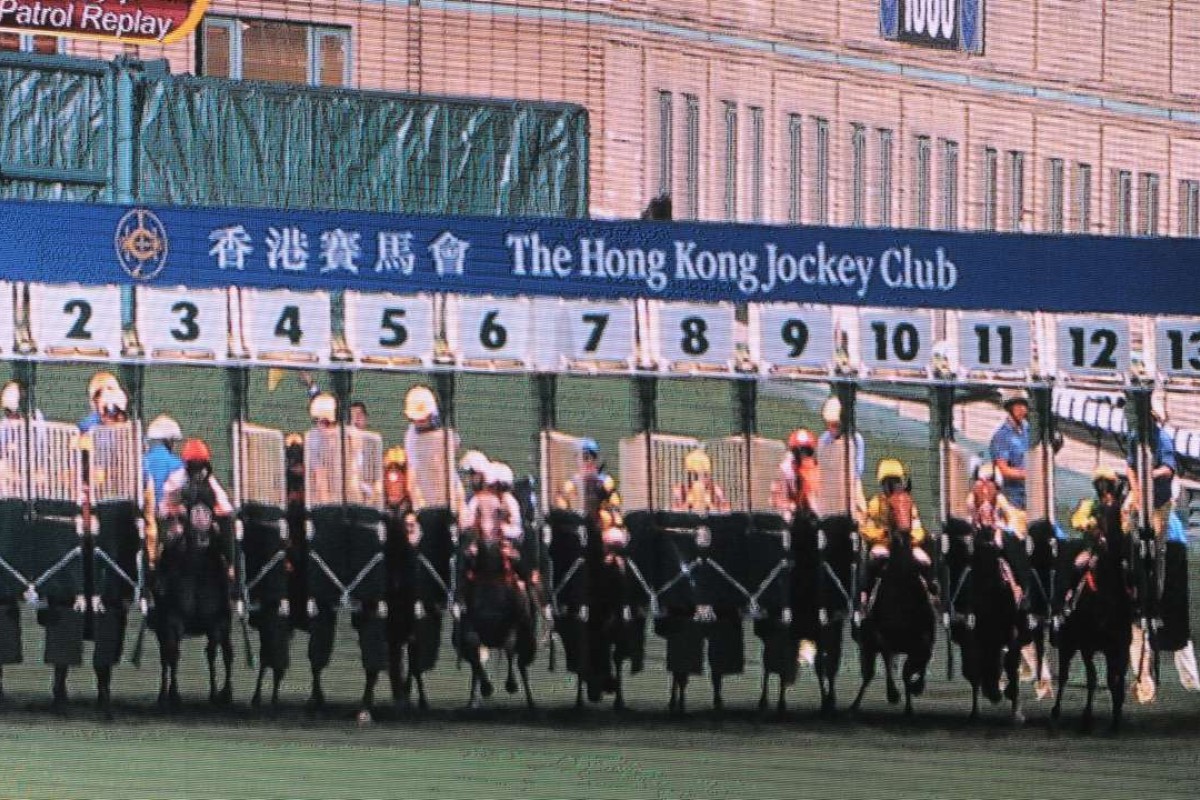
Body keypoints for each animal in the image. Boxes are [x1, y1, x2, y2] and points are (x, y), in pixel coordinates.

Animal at [151, 472, 232, 710]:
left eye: (211, 503)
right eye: (188, 504)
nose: (202, 538)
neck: (196, 571)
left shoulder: (216, 622)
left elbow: (213, 654)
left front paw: (216, 694)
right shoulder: (173, 621)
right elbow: (173, 654)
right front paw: (173, 694)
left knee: (227, 652)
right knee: (165, 655)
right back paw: (163, 694)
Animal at [854, 491, 936, 714]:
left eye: (909, 505)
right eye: (890, 506)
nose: (904, 533)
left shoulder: (925, 638)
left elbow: (918, 664)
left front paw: (916, 688)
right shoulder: (879, 636)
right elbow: (888, 657)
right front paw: (894, 694)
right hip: (866, 646)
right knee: (868, 675)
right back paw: (854, 705)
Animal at [1051, 494, 1132, 734]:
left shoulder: (1120, 646)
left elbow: (1116, 680)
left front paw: (1117, 718)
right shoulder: (1087, 645)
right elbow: (1093, 678)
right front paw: (1086, 718)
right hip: (1068, 644)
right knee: (1063, 676)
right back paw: (1055, 713)